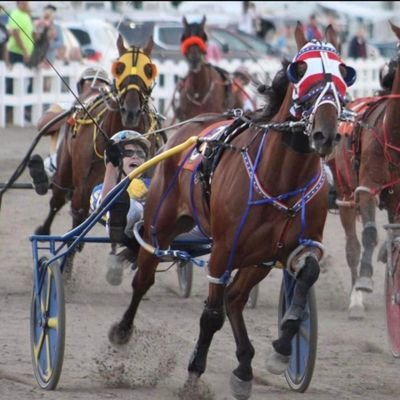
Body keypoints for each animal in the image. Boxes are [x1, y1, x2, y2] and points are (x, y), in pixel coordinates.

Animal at [35, 35, 162, 238]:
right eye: (119, 68)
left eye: (149, 70)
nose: (131, 111)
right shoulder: (83, 187)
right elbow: (79, 214)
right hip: (65, 168)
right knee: (58, 199)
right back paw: (44, 229)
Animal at [108, 23, 354, 398]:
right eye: (301, 73)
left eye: (344, 76)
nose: (325, 134)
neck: (282, 177)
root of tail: (187, 127)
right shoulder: (223, 250)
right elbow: (211, 315)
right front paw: (194, 373)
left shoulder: (300, 244)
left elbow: (307, 274)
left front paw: (282, 348)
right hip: (160, 225)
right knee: (144, 279)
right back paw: (123, 331)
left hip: (258, 258)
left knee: (236, 298)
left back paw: (244, 366)